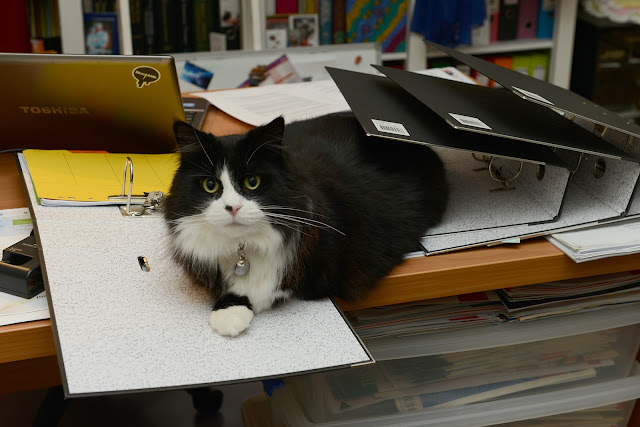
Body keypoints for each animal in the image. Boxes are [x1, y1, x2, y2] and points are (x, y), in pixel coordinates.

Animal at [163, 112, 448, 336]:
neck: (243, 247)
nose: (233, 208)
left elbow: (267, 289)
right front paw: (228, 311)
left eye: (252, 182)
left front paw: (230, 315)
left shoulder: (317, 274)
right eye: (210, 185)